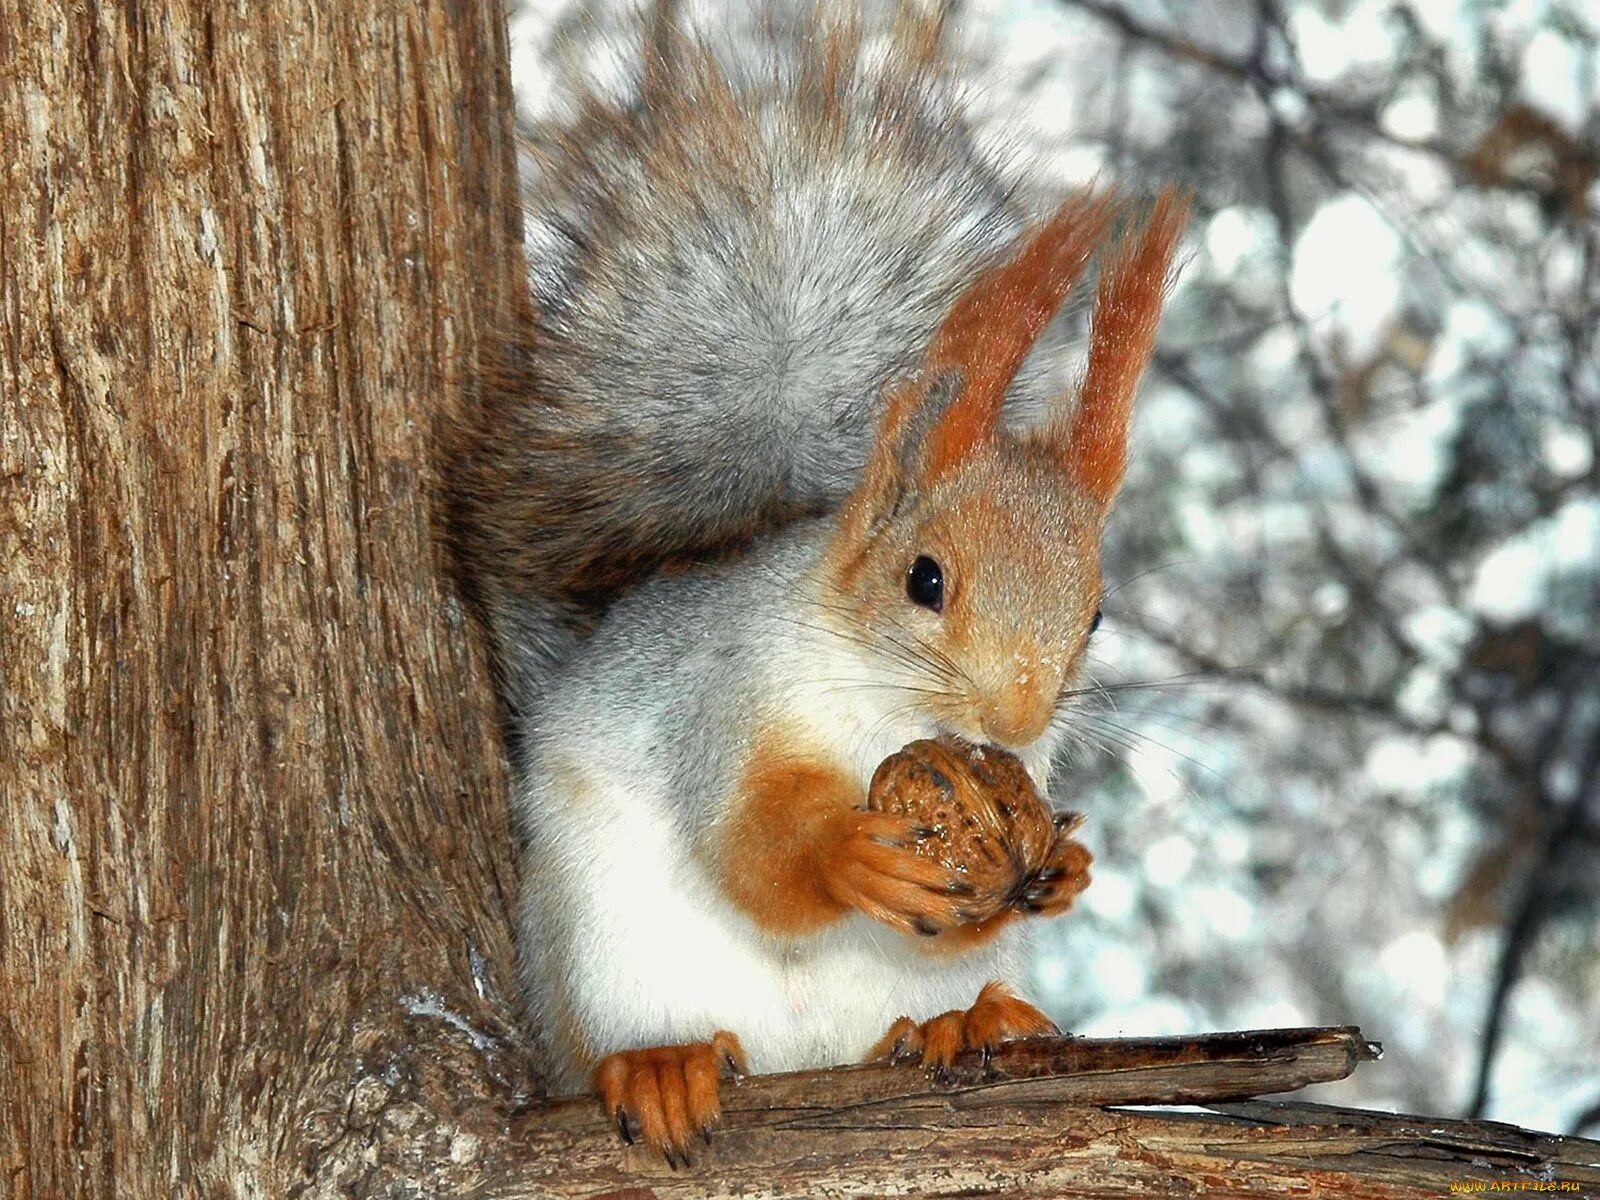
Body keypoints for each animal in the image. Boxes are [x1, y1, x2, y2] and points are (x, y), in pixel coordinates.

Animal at [448, 0, 1190, 1164]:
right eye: (923, 579)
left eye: (1096, 613)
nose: (1018, 717)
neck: (876, 699)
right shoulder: (726, 699)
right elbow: (747, 847)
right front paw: (851, 856)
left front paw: (1064, 866)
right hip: (602, 947)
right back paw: (659, 1064)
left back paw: (967, 1019)